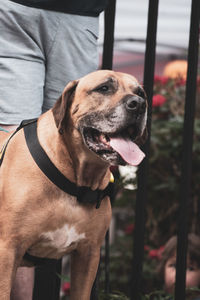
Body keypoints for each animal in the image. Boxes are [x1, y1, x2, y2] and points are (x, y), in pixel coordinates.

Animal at [0, 69, 147, 298]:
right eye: (104, 88)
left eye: (140, 93)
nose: (139, 104)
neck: (76, 181)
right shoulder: (8, 251)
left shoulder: (89, 255)